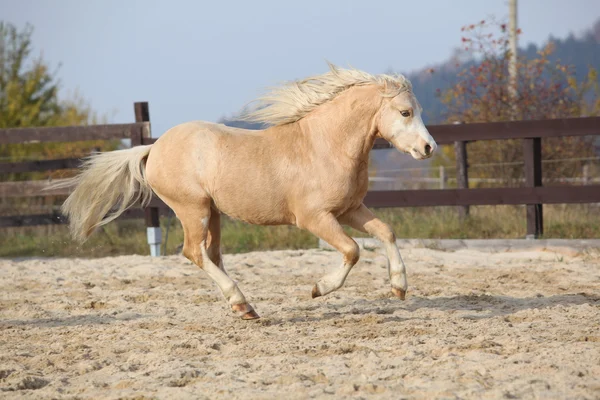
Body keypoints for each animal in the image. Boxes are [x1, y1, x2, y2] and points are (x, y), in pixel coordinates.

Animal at [59, 64, 436, 320]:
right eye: (405, 112)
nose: (429, 148)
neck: (324, 145)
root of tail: (154, 148)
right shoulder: (314, 218)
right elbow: (353, 250)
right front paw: (318, 288)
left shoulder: (350, 209)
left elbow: (386, 232)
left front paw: (399, 287)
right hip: (192, 209)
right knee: (194, 253)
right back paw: (243, 305)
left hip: (212, 213)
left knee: (210, 255)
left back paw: (243, 307)